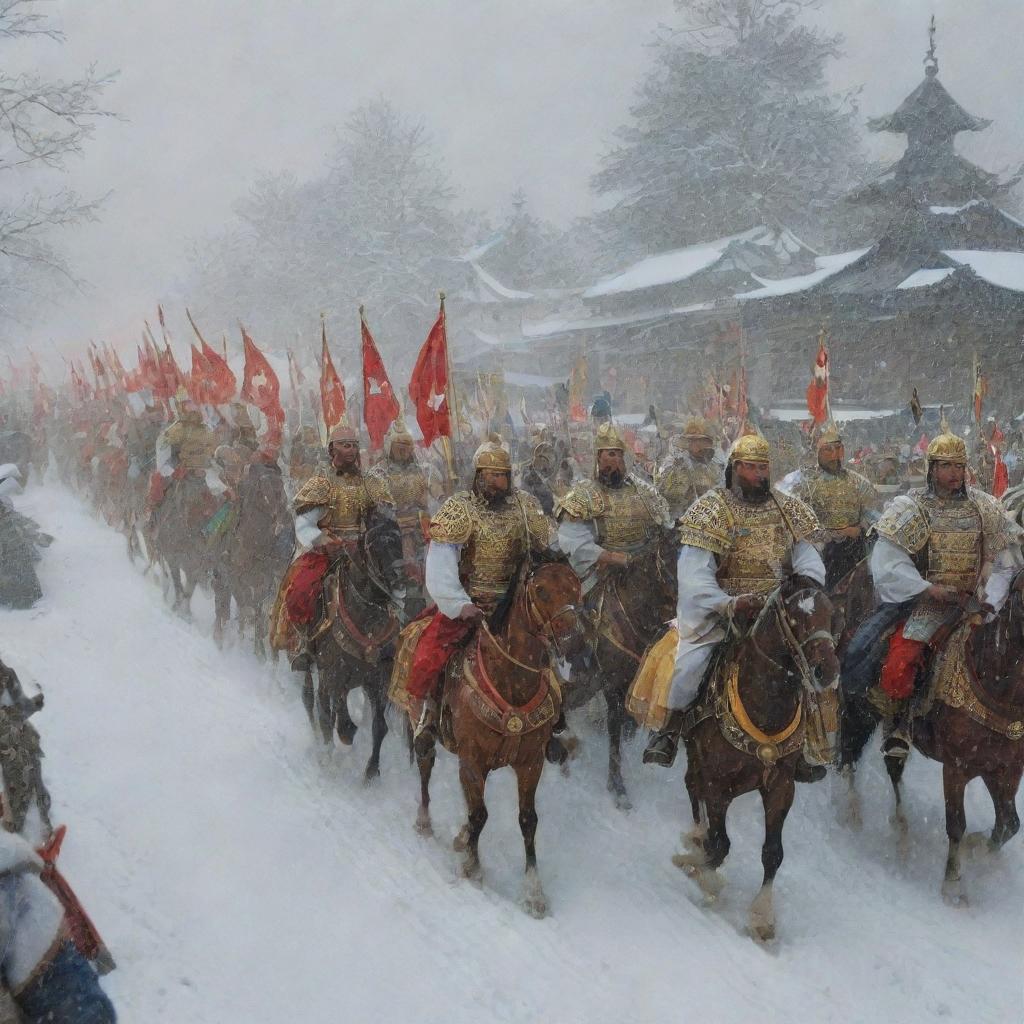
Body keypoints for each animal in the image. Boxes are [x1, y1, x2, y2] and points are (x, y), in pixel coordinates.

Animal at [301, 512, 405, 782]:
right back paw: (324, 751)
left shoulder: (378, 681)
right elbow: (339, 718)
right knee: (313, 701)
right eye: (374, 544)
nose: (400, 580)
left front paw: (372, 771)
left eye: (399, 539)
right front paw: (344, 737)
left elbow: (380, 726)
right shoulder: (334, 674)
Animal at [393, 561, 585, 921]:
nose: (573, 639)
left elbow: (527, 820)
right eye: (541, 590)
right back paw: (425, 823)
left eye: (576, 587)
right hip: (422, 726)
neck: (510, 683)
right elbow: (480, 815)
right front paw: (472, 868)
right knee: (426, 764)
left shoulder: (530, 763)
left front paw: (533, 893)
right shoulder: (472, 760)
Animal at [671, 581, 839, 937]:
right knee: (693, 790)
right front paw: (699, 871)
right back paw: (695, 840)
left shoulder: (781, 786)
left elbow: (772, 853)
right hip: (697, 758)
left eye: (831, 614)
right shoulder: (717, 783)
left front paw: (762, 917)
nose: (827, 670)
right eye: (794, 619)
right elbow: (720, 844)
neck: (764, 709)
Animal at [839, 581, 1024, 909]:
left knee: (893, 765)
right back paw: (853, 812)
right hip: (860, 709)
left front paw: (978, 850)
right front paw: (952, 885)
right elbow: (957, 824)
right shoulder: (956, 768)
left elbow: (1009, 824)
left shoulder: (1004, 771)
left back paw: (900, 830)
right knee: (850, 753)